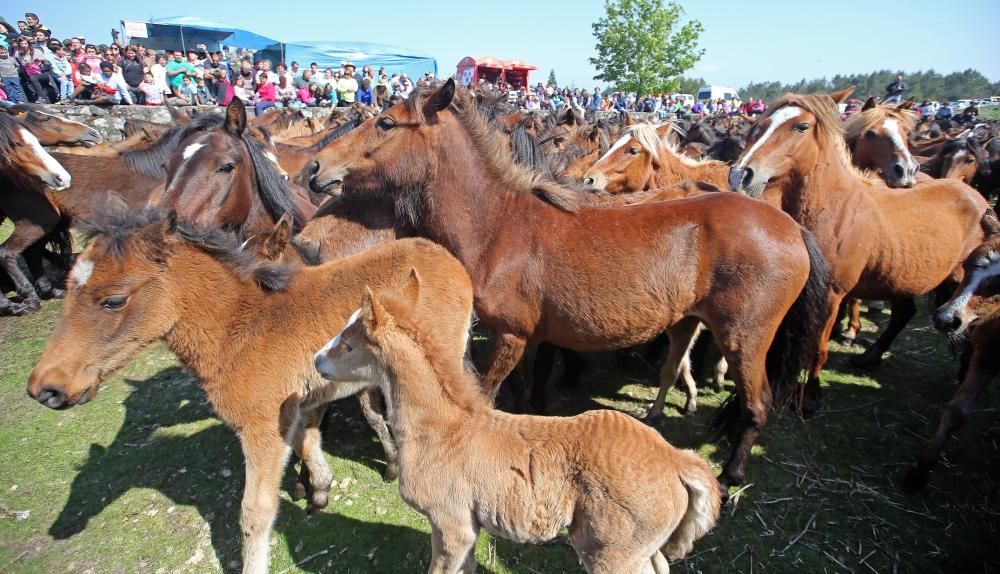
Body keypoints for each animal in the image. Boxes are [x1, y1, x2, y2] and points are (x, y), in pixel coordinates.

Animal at [26, 209, 472, 572]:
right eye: (67, 286)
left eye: (113, 301)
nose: (45, 389)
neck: (237, 328)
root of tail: (445, 256)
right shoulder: (296, 405)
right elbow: (309, 442)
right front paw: (319, 490)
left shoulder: (260, 427)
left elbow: (255, 511)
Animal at [312, 278, 720, 572]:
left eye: (348, 345)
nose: (317, 360)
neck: (442, 428)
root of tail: (677, 460)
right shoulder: (468, 527)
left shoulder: (451, 524)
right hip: (641, 548)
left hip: (611, 552)